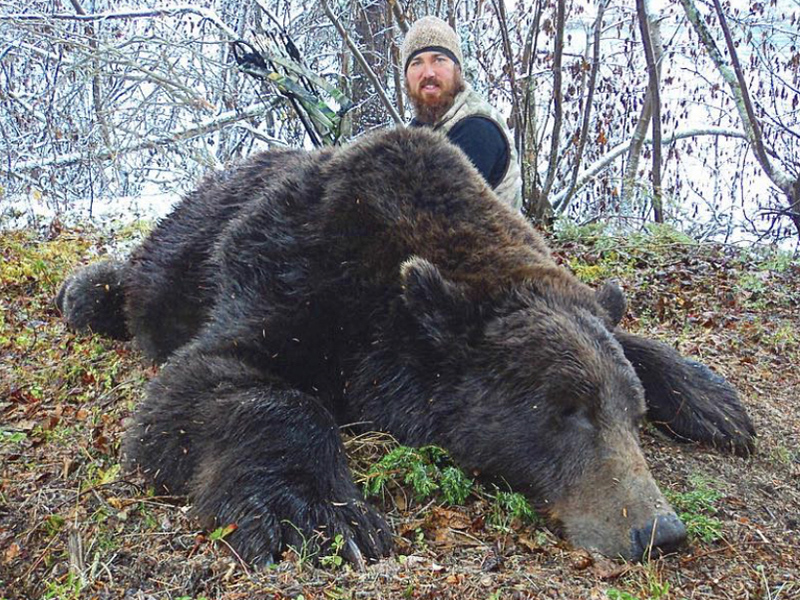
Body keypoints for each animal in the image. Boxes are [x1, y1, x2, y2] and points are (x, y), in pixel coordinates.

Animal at [57, 127, 755, 566]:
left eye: (633, 417)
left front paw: (715, 401)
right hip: (175, 248)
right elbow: (208, 382)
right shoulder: (291, 277)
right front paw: (319, 514)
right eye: (566, 412)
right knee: (126, 286)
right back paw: (81, 291)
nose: (658, 531)